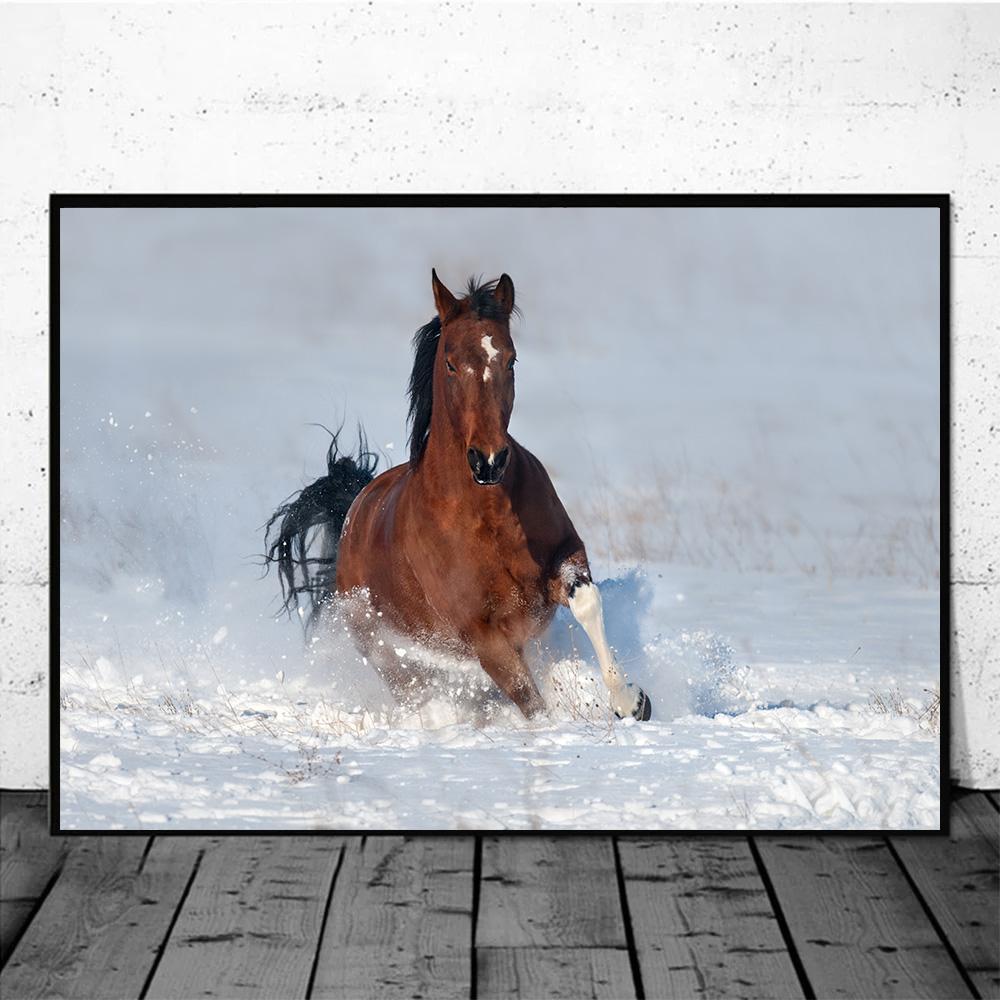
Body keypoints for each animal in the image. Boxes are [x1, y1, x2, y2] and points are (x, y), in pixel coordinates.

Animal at [265, 271, 651, 722]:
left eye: (511, 359)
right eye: (450, 363)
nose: (489, 461)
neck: (487, 514)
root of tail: (353, 512)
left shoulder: (565, 556)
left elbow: (587, 601)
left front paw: (631, 702)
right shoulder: (481, 632)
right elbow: (528, 699)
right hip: (383, 650)